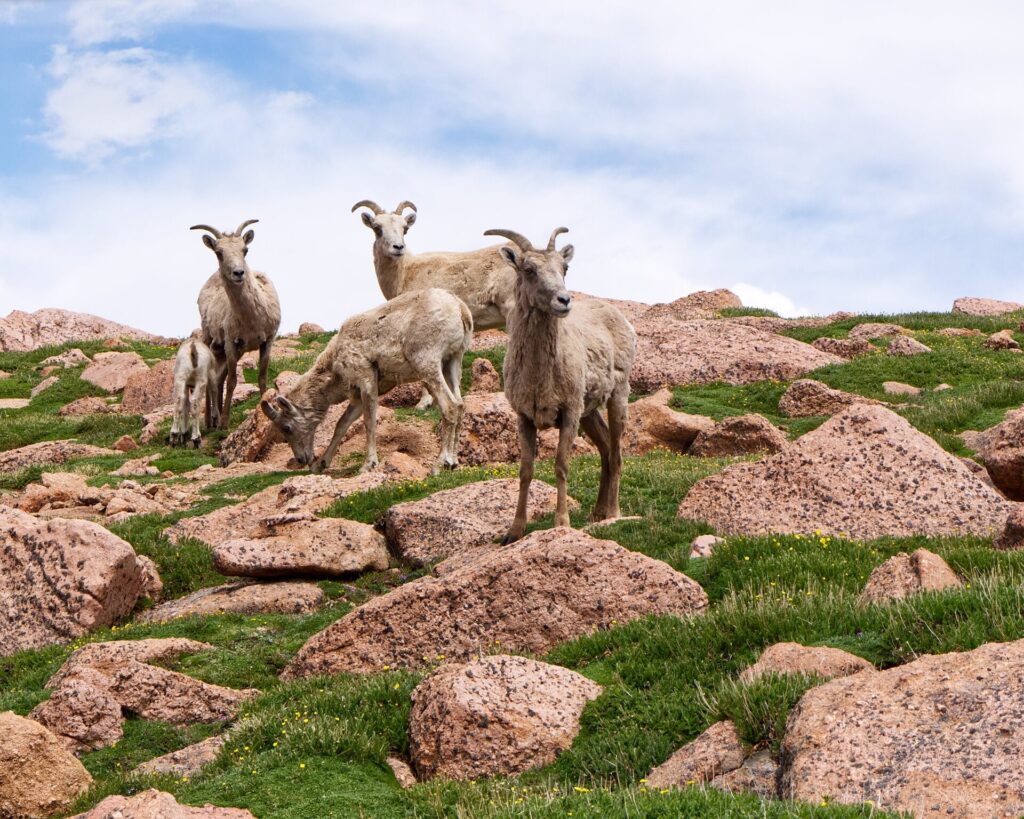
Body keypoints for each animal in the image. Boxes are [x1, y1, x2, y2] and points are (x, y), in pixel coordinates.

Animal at [192, 219, 281, 429]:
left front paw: (263, 406)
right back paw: (210, 421)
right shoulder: (231, 343)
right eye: (219, 252)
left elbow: (262, 377)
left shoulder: (267, 340)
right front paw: (224, 423)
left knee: (218, 378)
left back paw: (214, 418)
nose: (238, 273)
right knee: (211, 379)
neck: (252, 320)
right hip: (210, 340)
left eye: (245, 249)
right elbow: (232, 381)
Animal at [260, 288, 472, 475]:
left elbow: (369, 422)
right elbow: (341, 424)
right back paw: (453, 462)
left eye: (286, 427)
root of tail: (459, 308)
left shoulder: (366, 380)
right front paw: (320, 465)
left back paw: (439, 465)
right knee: (460, 405)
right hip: (452, 361)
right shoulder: (357, 395)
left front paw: (367, 465)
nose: (302, 459)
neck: (334, 365)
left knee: (450, 406)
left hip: (427, 362)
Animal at [484, 226, 637, 543]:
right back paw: (596, 513)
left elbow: (561, 466)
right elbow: (526, 471)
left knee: (616, 453)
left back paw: (612, 513)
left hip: (617, 396)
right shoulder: (525, 418)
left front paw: (562, 523)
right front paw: (513, 532)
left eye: (564, 268)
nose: (564, 301)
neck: (539, 377)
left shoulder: (568, 414)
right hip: (588, 411)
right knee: (605, 449)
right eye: (529, 270)